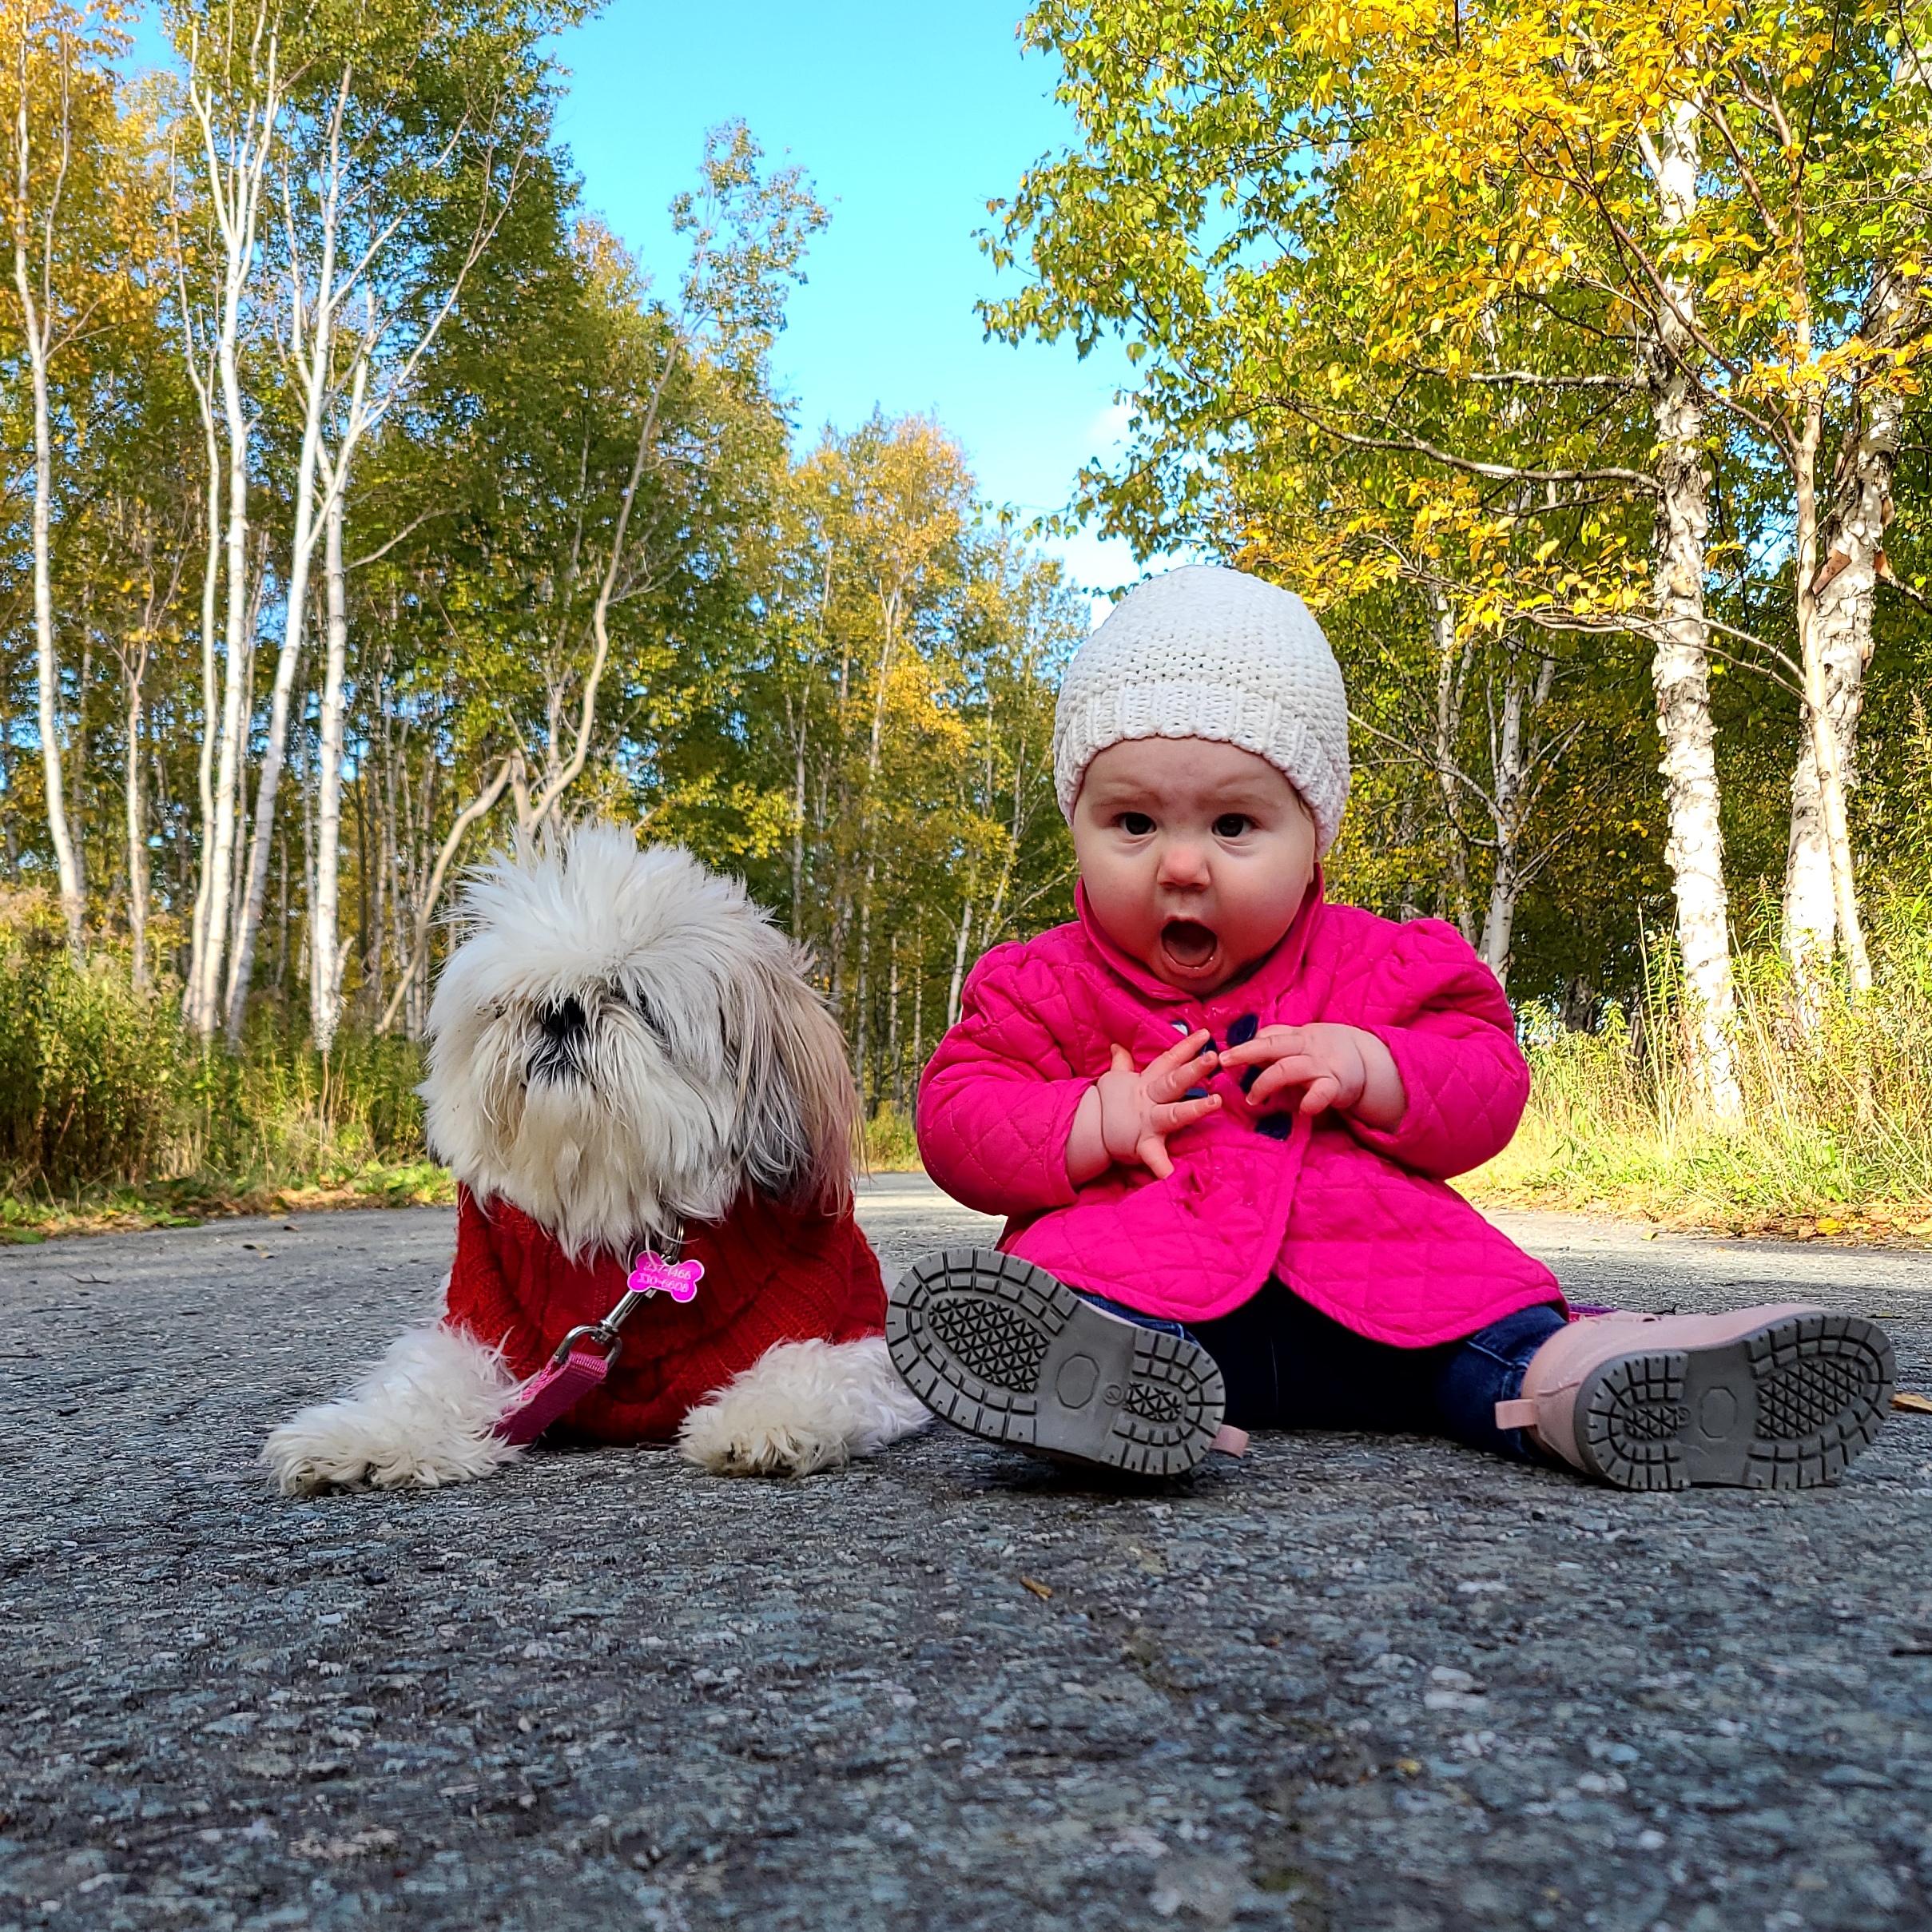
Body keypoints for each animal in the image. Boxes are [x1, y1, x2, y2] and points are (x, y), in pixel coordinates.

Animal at [264, 823, 927, 1484]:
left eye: (635, 998)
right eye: (503, 1005)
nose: (559, 1012)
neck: (606, 1203)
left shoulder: (854, 1328)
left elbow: (814, 1365)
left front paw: (766, 1418)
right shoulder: (479, 1327)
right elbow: (425, 1382)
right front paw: (369, 1435)